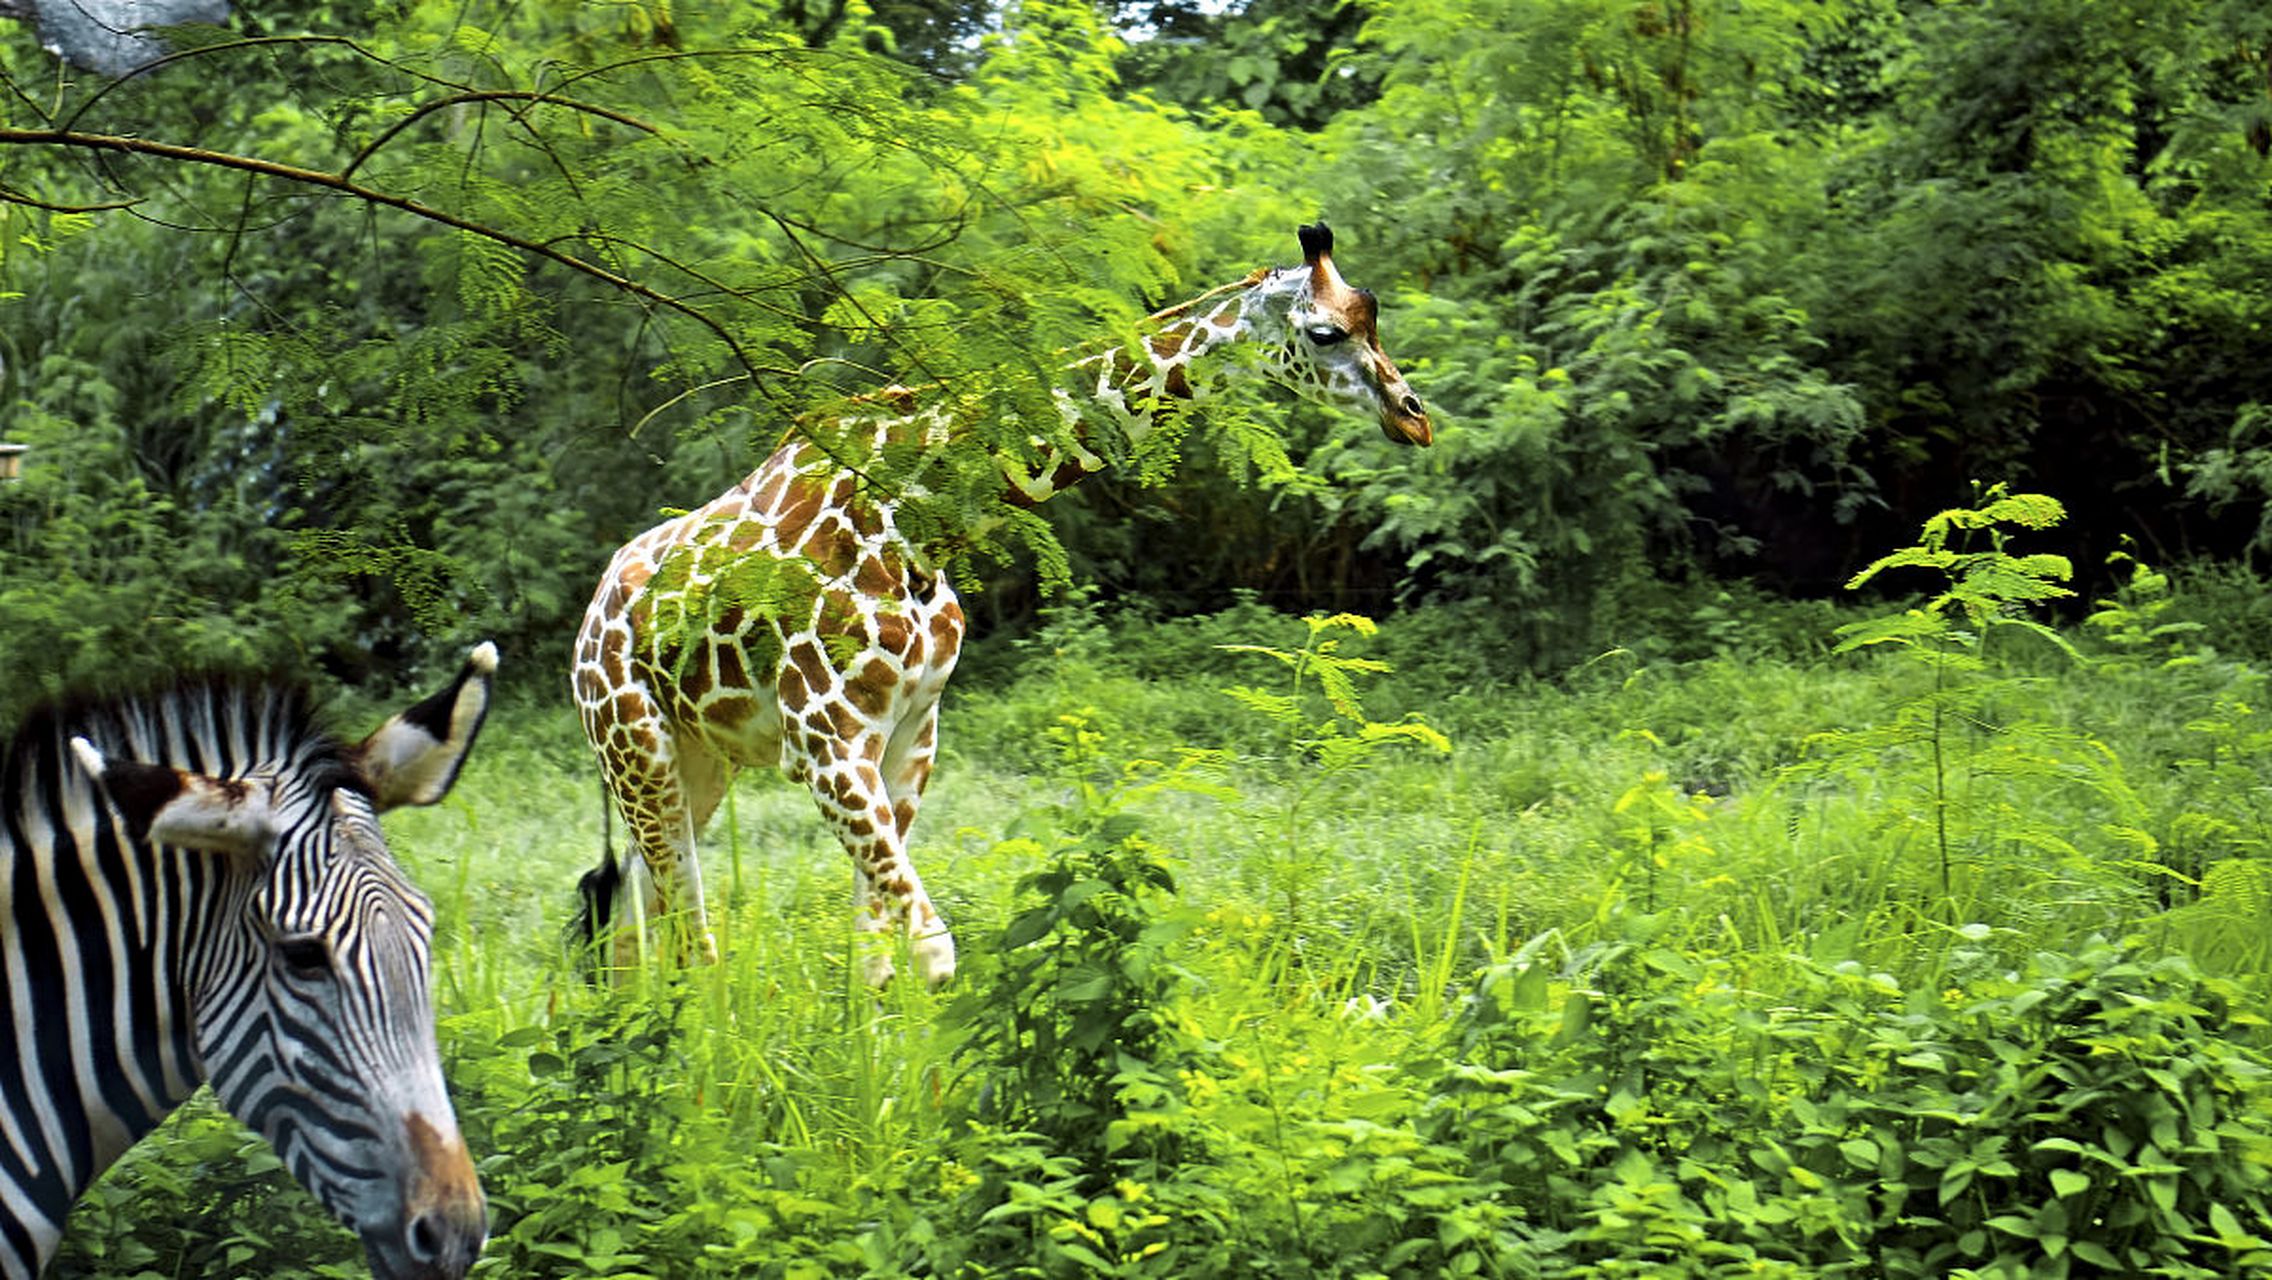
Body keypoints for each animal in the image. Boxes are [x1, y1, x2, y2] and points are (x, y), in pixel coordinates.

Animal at [563, 222, 1417, 991]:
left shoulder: (911, 734)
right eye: (1325, 331)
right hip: (637, 746)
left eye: (1373, 314)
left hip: (698, 758)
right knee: (687, 934)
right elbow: (935, 956)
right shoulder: (824, 741)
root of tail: (592, 619)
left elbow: (876, 959)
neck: (917, 517)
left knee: (633, 914)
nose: (1413, 414)